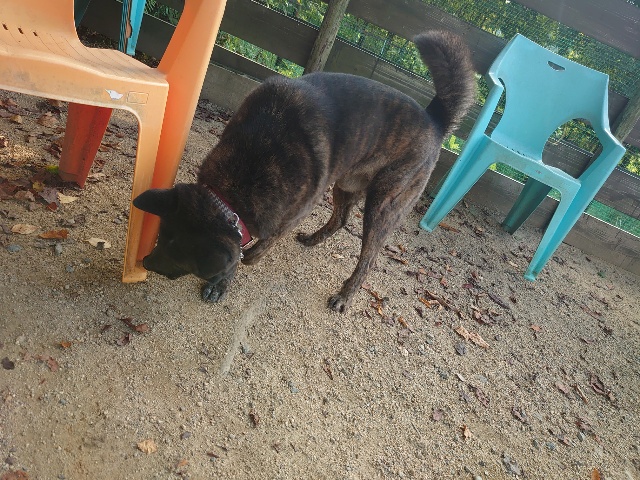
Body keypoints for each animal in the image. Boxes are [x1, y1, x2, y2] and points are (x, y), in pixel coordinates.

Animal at [133, 30, 475, 313]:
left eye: (180, 258)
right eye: (161, 236)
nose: (145, 261)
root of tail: (435, 121)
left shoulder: (293, 212)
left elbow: (252, 251)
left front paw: (230, 277)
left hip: (384, 204)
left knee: (368, 258)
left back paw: (344, 295)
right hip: (346, 184)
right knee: (341, 219)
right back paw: (313, 239)